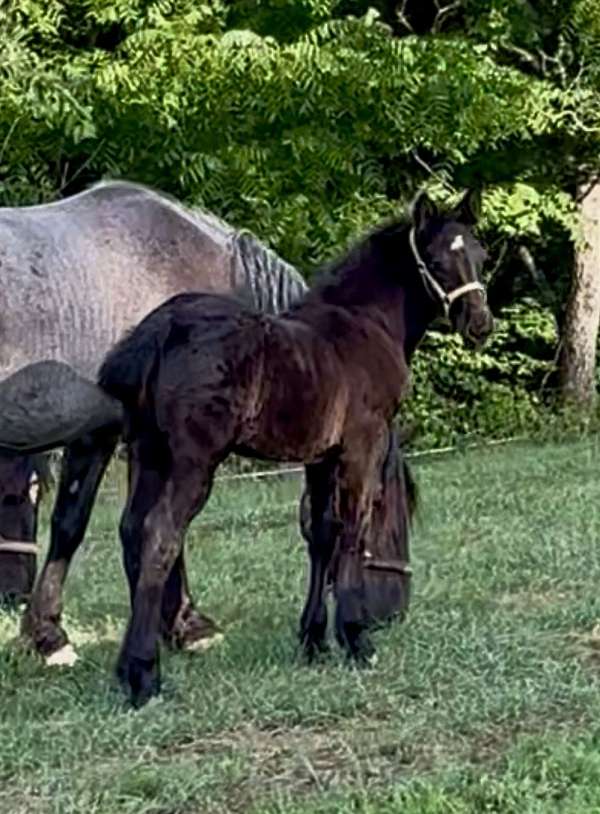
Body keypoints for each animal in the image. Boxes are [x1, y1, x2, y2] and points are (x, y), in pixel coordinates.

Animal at [96, 189, 493, 706]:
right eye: (438, 260)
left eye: (481, 256)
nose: (480, 324)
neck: (365, 323)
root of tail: (161, 331)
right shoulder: (361, 446)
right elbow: (351, 529)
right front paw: (356, 638)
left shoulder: (320, 458)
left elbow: (321, 534)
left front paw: (313, 640)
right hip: (192, 463)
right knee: (161, 536)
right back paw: (146, 676)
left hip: (149, 453)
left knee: (130, 531)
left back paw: (128, 667)